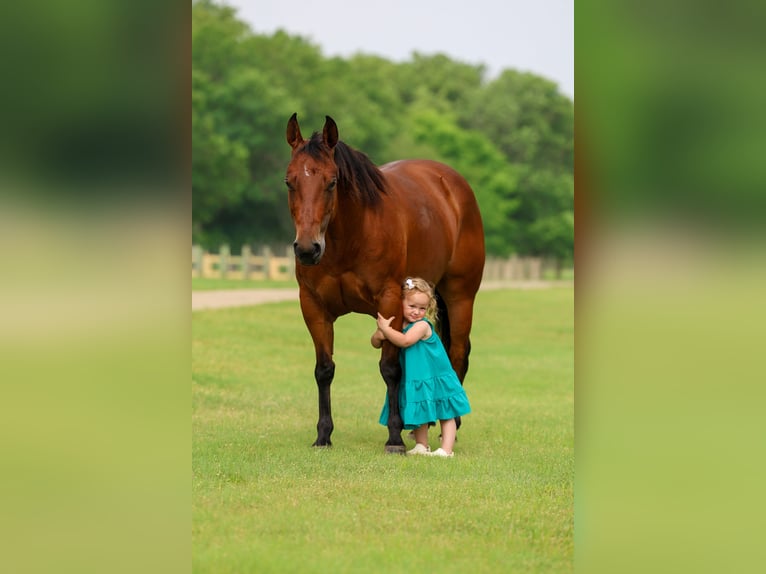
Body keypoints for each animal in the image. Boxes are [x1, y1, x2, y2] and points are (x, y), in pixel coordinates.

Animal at [284, 113, 485, 453]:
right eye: (289, 181)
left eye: (332, 181)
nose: (308, 249)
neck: (350, 239)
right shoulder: (313, 307)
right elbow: (324, 370)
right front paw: (323, 435)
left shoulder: (390, 300)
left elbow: (390, 369)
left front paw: (393, 438)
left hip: (461, 297)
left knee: (457, 354)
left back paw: (450, 424)